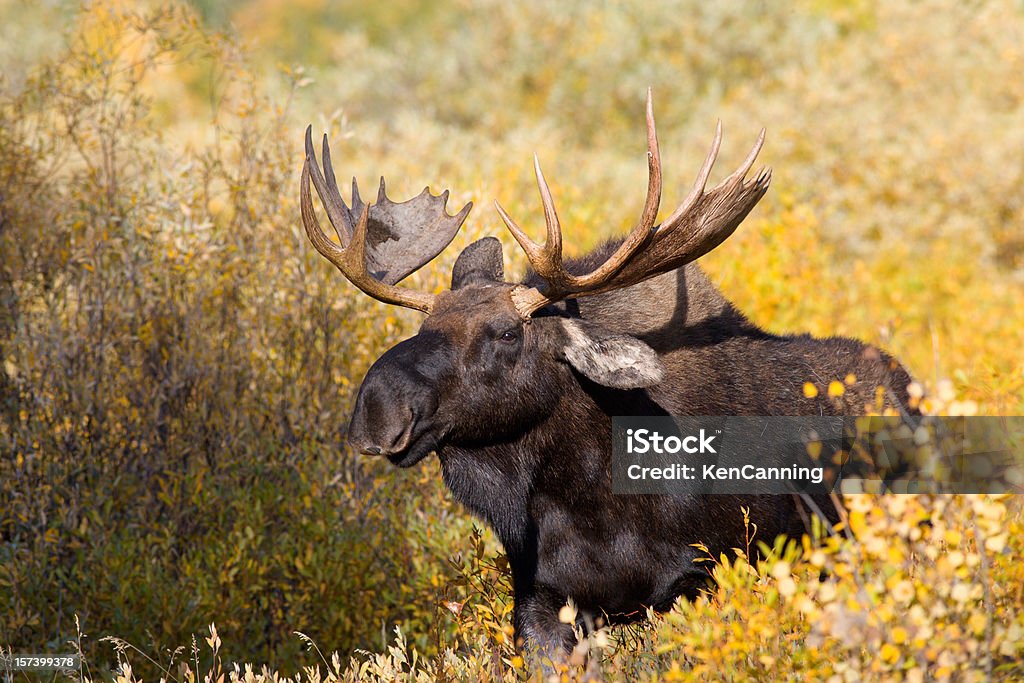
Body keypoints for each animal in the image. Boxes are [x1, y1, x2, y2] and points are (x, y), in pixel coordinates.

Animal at [296, 90, 913, 655]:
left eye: (507, 333)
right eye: (425, 327)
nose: (377, 410)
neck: (577, 497)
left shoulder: (697, 575)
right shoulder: (543, 601)